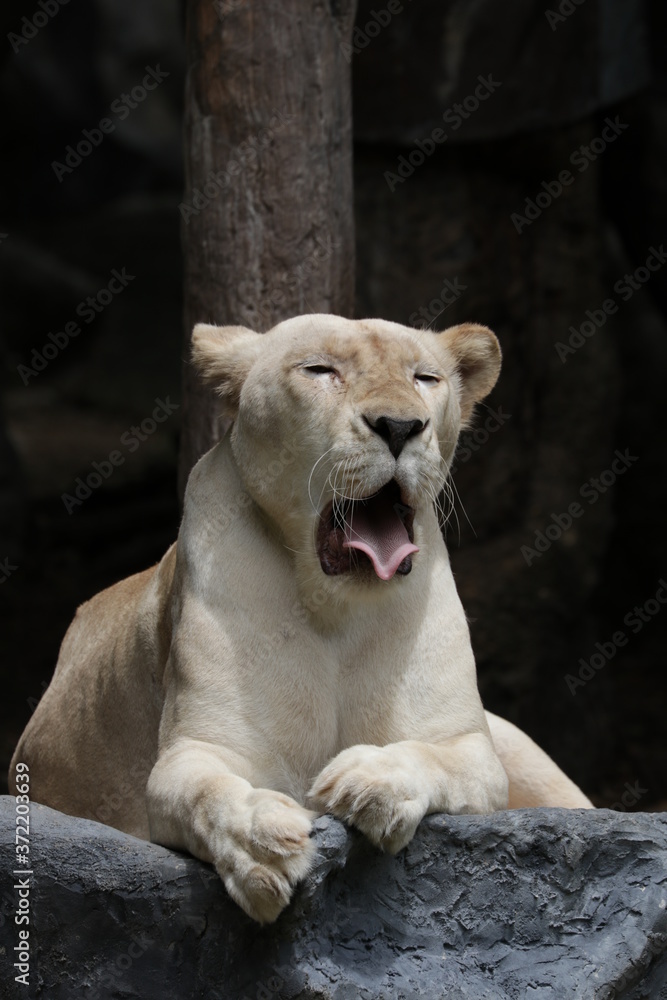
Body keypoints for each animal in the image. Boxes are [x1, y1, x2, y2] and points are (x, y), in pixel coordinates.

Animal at [10, 314, 591, 924]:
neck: (336, 606)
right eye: (320, 370)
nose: (400, 426)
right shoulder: (192, 753)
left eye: (425, 378)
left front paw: (367, 782)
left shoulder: (468, 744)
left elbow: (431, 756)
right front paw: (264, 843)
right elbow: (208, 791)